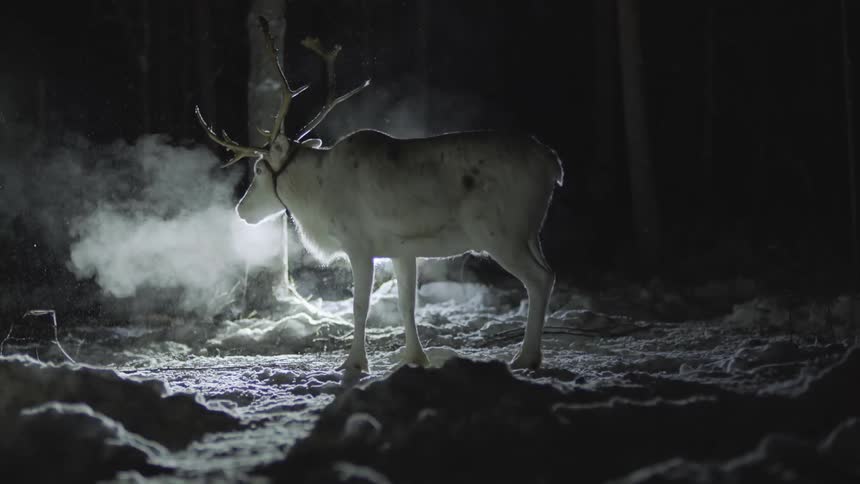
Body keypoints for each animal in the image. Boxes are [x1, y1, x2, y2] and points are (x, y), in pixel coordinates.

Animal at [196, 18, 563, 373]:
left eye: (259, 169)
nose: (241, 209)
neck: (317, 196)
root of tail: (553, 164)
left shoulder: (359, 244)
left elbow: (360, 306)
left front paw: (355, 362)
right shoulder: (402, 250)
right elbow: (406, 304)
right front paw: (415, 357)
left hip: (501, 233)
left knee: (540, 279)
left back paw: (527, 357)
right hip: (531, 233)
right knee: (548, 272)